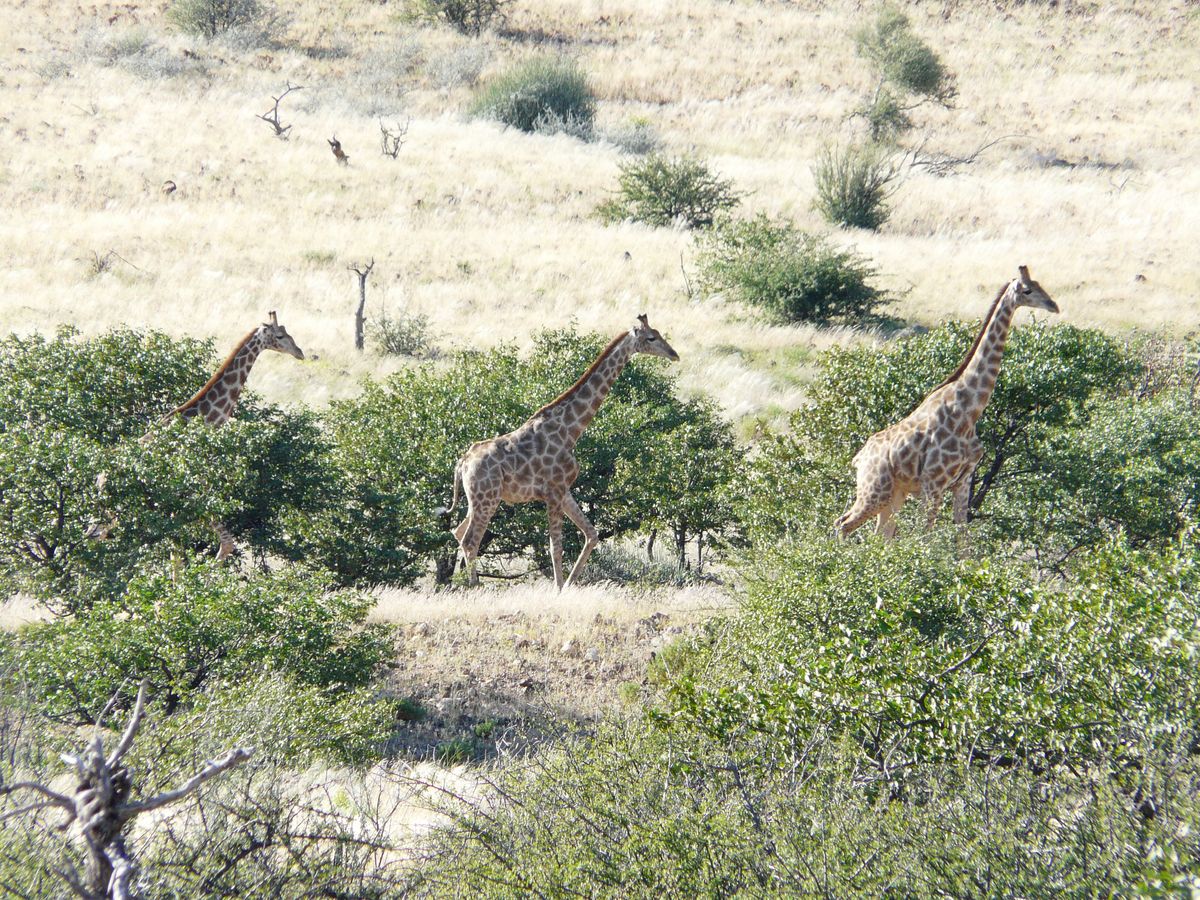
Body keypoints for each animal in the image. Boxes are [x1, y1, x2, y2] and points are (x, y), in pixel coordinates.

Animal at [449, 315, 680, 589]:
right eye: (651, 338)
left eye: (659, 333)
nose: (674, 354)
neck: (570, 431)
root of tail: (463, 463)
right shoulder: (553, 491)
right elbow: (555, 547)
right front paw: (558, 588)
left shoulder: (565, 490)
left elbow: (591, 534)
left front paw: (569, 584)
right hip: (487, 497)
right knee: (470, 539)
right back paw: (475, 586)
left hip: (477, 499)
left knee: (458, 531)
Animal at [834, 265, 1058, 539]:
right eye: (1027, 290)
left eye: (1040, 285)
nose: (1053, 305)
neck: (969, 410)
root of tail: (859, 459)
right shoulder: (934, 483)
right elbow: (925, 537)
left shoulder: (963, 482)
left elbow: (963, 538)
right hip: (875, 490)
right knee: (842, 523)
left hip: (894, 493)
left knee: (880, 536)